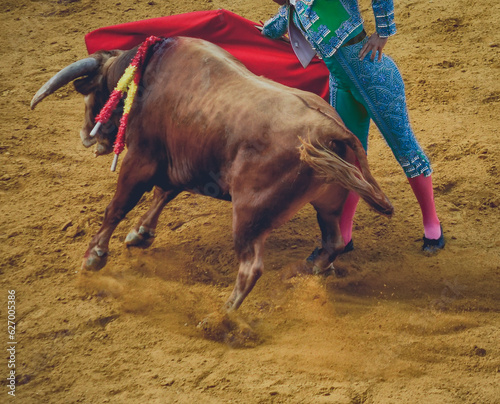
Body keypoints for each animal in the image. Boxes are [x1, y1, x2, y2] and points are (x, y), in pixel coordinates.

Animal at [31, 36, 392, 310]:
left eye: (95, 92)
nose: (86, 135)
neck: (147, 75)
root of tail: (331, 128)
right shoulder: (181, 163)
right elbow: (163, 194)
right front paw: (140, 234)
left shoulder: (141, 160)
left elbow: (117, 206)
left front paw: (93, 257)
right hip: (329, 203)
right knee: (333, 241)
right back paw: (309, 269)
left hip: (249, 214)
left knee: (250, 267)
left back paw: (223, 315)